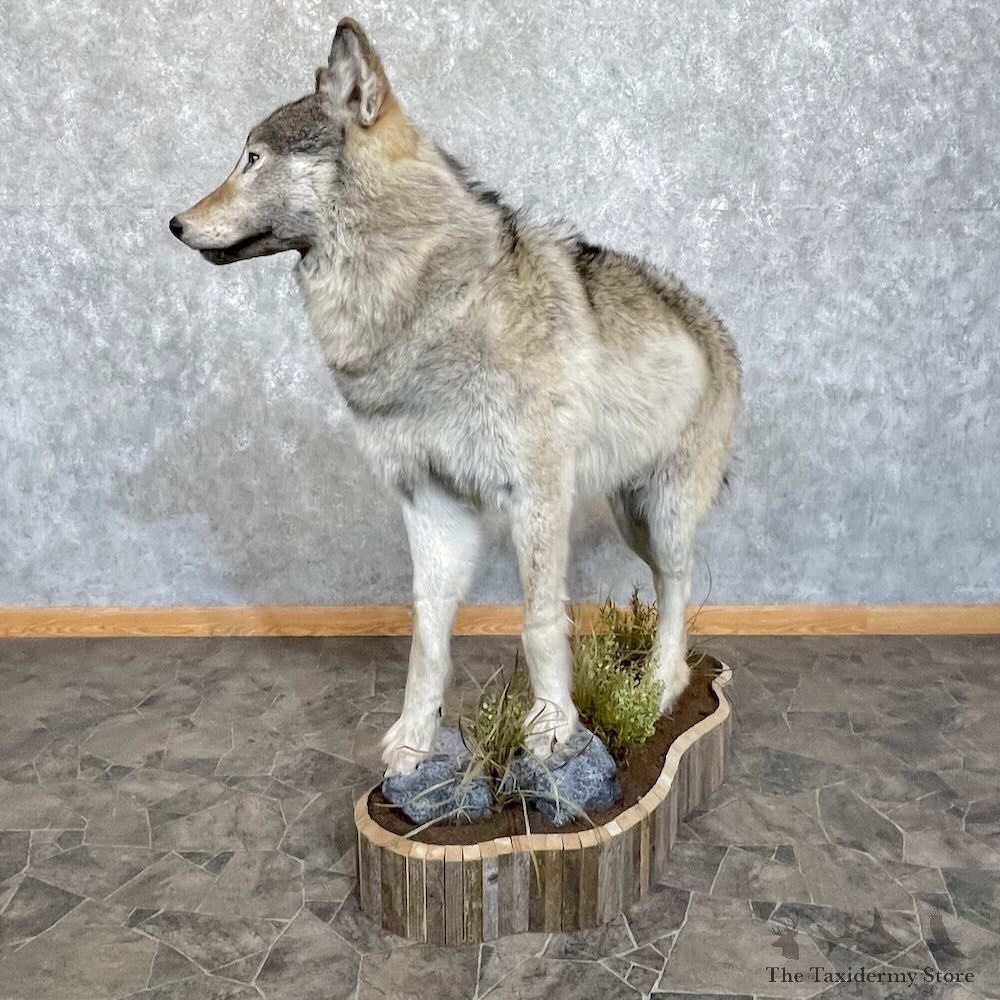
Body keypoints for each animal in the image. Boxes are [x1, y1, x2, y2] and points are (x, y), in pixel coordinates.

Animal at [170, 18, 741, 776]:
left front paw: (551, 732)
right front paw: (414, 742)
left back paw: (660, 684)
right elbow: (427, 638)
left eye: (253, 158)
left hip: (664, 514)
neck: (417, 302)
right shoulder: (431, 504)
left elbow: (539, 622)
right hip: (632, 518)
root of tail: (716, 326)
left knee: (679, 588)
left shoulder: (537, 498)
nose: (175, 222)